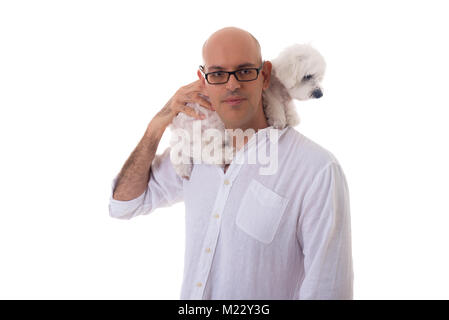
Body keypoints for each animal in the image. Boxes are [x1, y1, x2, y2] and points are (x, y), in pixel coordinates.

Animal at [168, 43, 326, 179]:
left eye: (319, 77)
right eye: (308, 76)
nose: (319, 94)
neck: (281, 86)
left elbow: (288, 106)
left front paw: (292, 117)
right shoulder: (268, 94)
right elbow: (275, 104)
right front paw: (279, 119)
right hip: (211, 128)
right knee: (204, 152)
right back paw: (226, 155)